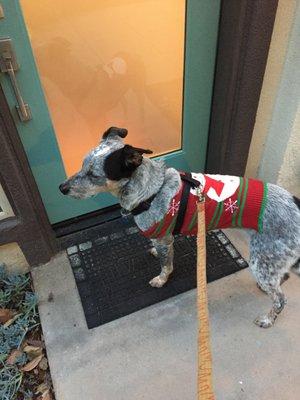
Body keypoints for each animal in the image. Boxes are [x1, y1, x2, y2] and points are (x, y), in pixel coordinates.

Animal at [59, 128, 300, 328]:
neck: (151, 190)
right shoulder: (163, 238)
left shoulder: (164, 239)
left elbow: (166, 265)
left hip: (262, 260)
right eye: (81, 165)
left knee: (281, 298)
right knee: (283, 278)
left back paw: (268, 319)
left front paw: (161, 279)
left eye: (94, 175)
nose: (61, 188)